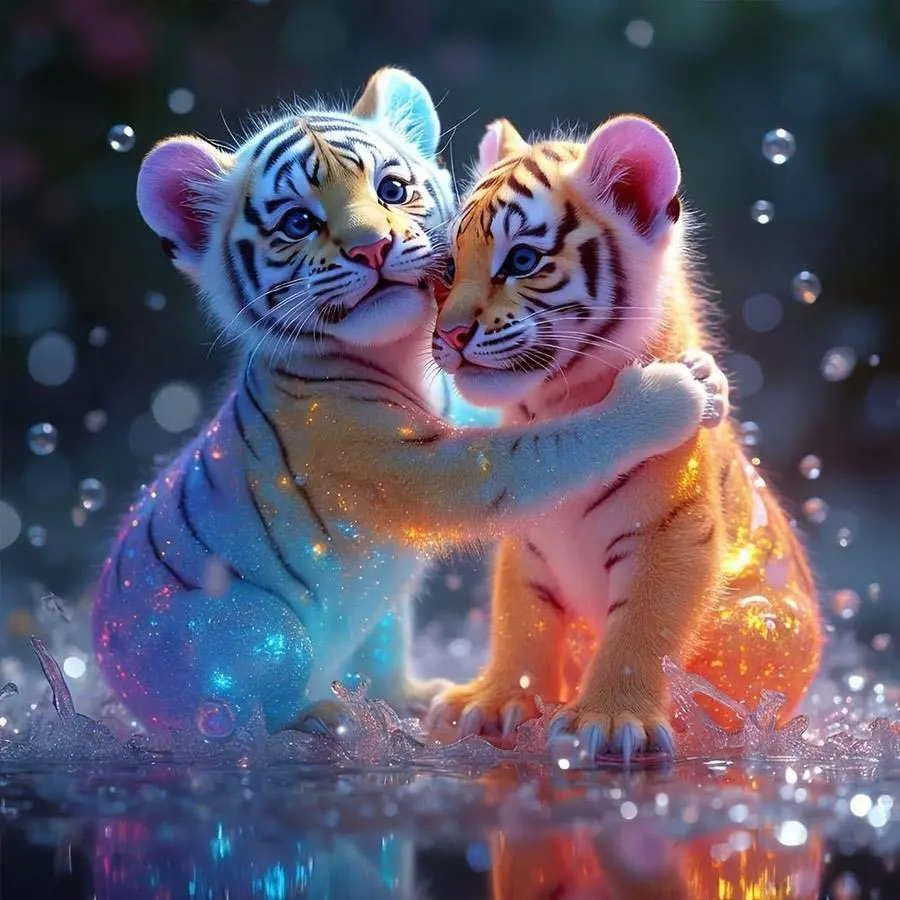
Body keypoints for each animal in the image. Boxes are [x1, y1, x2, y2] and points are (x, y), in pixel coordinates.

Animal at [91, 69, 722, 736]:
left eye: (391, 189)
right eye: (297, 222)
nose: (373, 247)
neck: (398, 355)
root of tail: (105, 649)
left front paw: (707, 374)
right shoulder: (395, 458)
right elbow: (539, 449)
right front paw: (674, 392)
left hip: (384, 617)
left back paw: (413, 698)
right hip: (246, 630)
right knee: (238, 708)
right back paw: (320, 717)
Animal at [428, 114, 824, 761]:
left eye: (522, 259)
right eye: (447, 269)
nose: (450, 334)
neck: (552, 410)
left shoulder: (671, 535)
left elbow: (643, 630)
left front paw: (614, 722)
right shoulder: (526, 547)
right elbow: (520, 623)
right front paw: (490, 702)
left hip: (767, 621)